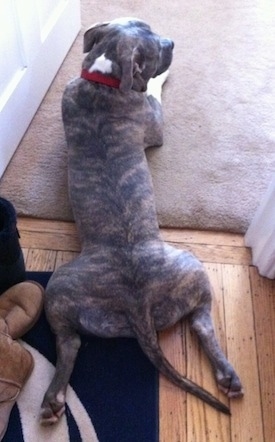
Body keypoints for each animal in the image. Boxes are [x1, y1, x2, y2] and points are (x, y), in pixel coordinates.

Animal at [39, 17, 244, 424]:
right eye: (154, 50)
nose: (173, 42)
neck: (105, 78)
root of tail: (138, 302)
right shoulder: (155, 122)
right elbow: (153, 90)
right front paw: (156, 79)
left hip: (63, 297)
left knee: (69, 341)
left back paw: (53, 399)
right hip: (188, 266)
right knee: (202, 322)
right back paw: (226, 374)